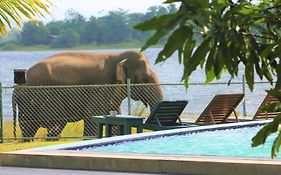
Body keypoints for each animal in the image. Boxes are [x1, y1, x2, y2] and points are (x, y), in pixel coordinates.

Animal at [12, 50, 162, 141]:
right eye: (146, 78)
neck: (118, 55)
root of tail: (17, 88)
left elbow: (114, 115)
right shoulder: (101, 85)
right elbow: (92, 114)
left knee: (29, 127)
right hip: (41, 97)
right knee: (55, 123)